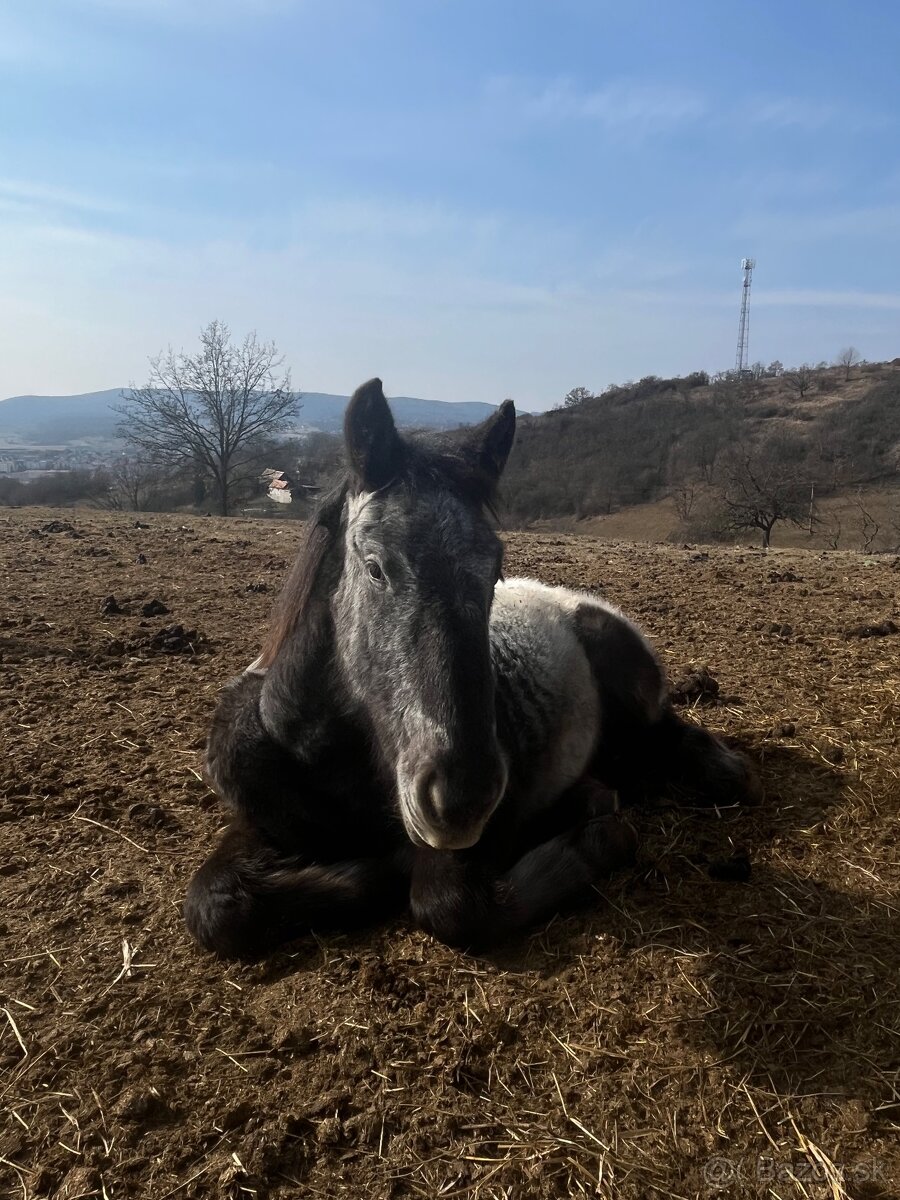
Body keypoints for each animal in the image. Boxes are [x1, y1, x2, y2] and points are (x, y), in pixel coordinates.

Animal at [184, 379, 763, 960]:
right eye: (375, 569)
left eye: (494, 569)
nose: (462, 798)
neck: (324, 754)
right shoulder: (262, 826)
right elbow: (214, 905)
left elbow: (449, 905)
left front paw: (602, 831)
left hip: (633, 692)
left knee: (700, 755)